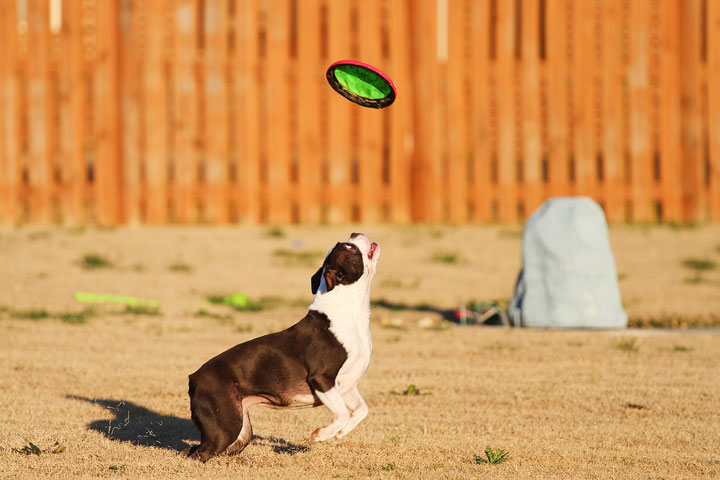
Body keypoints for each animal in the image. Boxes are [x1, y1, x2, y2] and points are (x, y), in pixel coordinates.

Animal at [183, 232, 380, 462]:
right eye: (349, 248)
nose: (355, 233)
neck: (349, 311)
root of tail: (193, 378)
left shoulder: (346, 384)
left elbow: (360, 410)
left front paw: (340, 433)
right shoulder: (322, 378)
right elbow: (341, 413)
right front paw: (322, 434)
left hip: (240, 429)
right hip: (225, 427)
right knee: (199, 452)